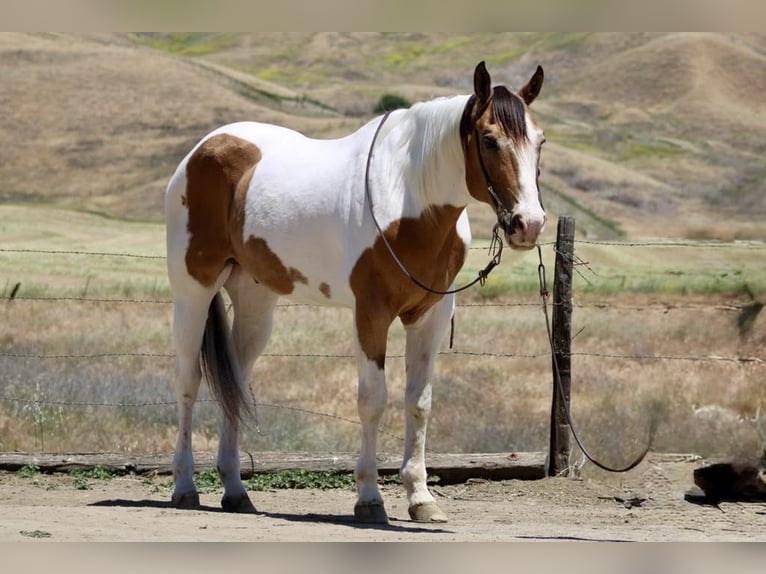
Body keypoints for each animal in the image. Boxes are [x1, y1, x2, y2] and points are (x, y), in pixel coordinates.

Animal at [164, 61, 546, 524]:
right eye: (489, 140)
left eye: (540, 141)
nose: (529, 224)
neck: (407, 196)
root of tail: (201, 150)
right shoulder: (371, 313)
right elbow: (373, 400)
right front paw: (369, 498)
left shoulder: (430, 316)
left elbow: (419, 402)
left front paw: (421, 498)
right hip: (192, 292)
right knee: (188, 382)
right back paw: (184, 486)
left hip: (255, 301)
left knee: (235, 380)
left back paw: (236, 492)